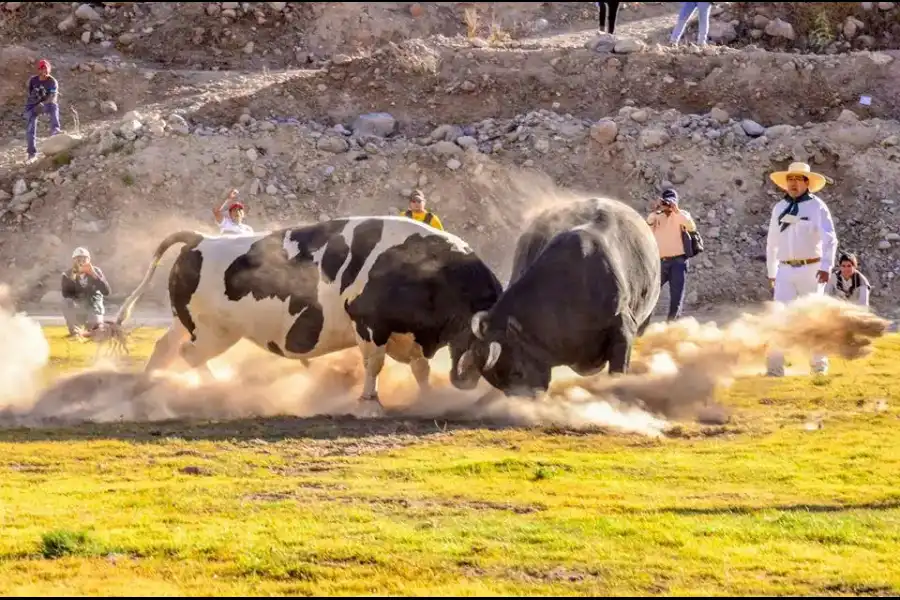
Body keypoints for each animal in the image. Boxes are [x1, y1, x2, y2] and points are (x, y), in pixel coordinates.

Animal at [115, 217, 502, 418]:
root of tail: (200, 240)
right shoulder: (370, 328)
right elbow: (374, 365)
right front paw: (369, 403)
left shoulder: (412, 336)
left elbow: (420, 369)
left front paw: (427, 397)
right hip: (216, 333)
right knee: (189, 355)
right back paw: (214, 390)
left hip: (189, 325)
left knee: (165, 347)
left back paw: (143, 390)